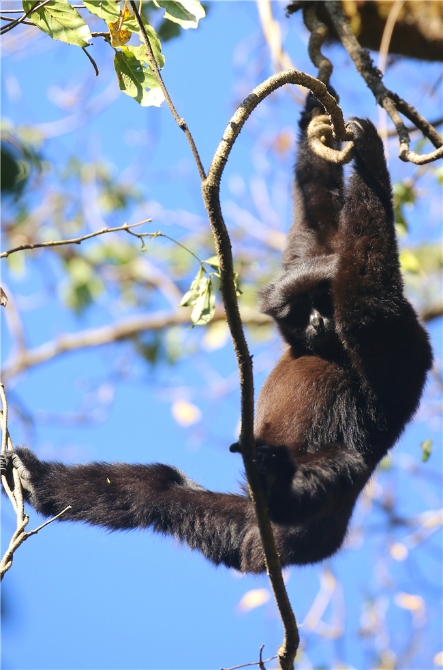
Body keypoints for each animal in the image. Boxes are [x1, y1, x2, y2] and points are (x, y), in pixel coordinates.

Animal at [1, 93, 433, 574]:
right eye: (300, 313)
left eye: (322, 305)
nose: (318, 323)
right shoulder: (319, 258)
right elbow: (316, 221)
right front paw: (316, 111)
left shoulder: (392, 330)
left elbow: (366, 292)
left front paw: (371, 156)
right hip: (240, 522)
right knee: (160, 489)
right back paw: (37, 480)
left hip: (316, 516)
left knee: (343, 462)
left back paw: (280, 486)